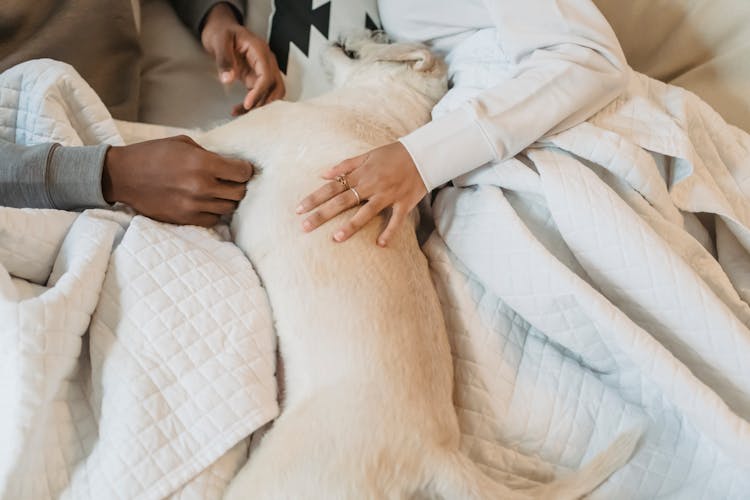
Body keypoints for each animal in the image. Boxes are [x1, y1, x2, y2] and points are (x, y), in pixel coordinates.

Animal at [198, 36, 640, 500]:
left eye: (381, 38)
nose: (360, 31)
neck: (381, 112)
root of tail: (437, 454)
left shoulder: (231, 135)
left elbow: (177, 135)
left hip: (274, 480)